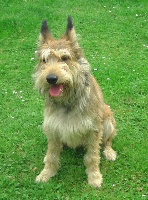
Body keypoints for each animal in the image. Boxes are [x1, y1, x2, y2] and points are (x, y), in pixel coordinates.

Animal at [33, 15, 117, 188]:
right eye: (44, 60)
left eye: (65, 58)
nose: (51, 79)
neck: (67, 100)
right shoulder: (52, 128)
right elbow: (51, 155)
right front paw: (46, 173)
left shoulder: (94, 130)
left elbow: (92, 157)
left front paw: (94, 177)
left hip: (108, 120)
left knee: (108, 140)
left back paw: (109, 151)